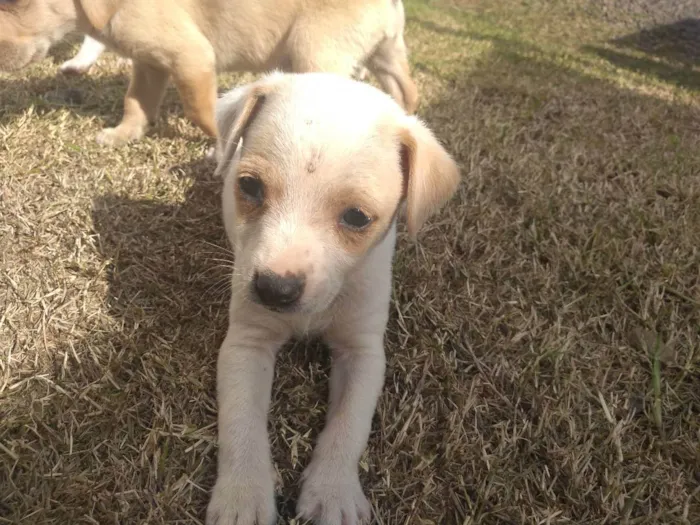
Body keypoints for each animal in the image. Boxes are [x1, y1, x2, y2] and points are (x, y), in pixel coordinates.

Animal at [0, 0, 416, 146]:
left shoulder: (192, 57)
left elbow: (202, 112)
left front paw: (221, 145)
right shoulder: (149, 64)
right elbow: (135, 102)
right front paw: (123, 134)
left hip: (315, 53)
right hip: (387, 52)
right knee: (406, 90)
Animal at [208, 70, 460, 524]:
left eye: (357, 217)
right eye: (249, 186)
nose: (273, 289)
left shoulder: (363, 351)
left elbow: (350, 421)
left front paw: (333, 491)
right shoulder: (246, 342)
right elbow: (241, 419)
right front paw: (242, 495)